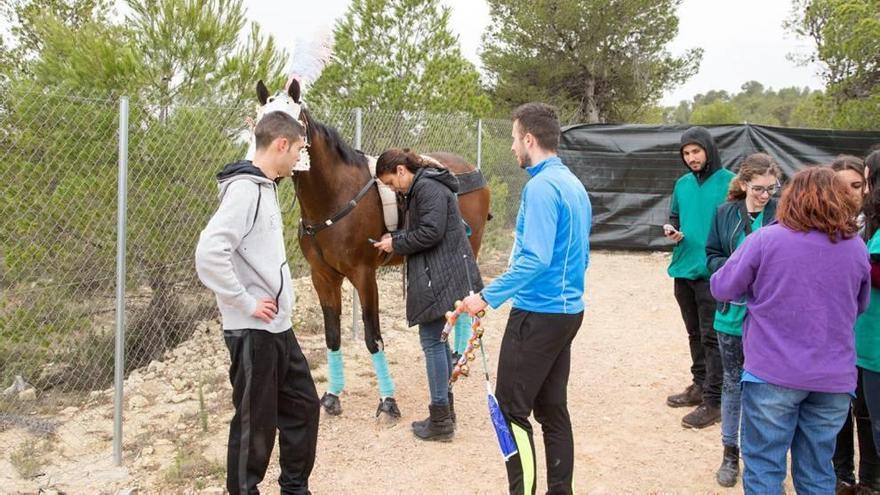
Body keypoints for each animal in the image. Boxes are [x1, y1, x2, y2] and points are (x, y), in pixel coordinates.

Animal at [251, 78, 492, 418]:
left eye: (293, 122)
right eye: (257, 122)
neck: (334, 197)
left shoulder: (364, 275)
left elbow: (372, 337)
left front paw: (388, 400)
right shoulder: (322, 277)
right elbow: (333, 336)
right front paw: (332, 394)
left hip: (470, 246)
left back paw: (458, 355)